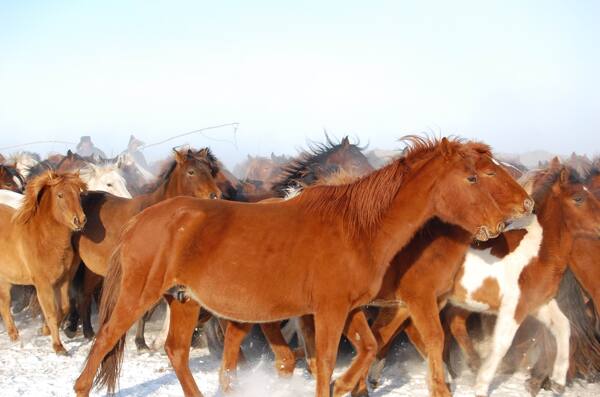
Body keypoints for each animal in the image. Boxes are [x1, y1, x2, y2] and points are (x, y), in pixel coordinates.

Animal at [0, 172, 86, 352]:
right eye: (60, 195)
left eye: (79, 193)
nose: (80, 220)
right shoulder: (43, 284)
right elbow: (51, 313)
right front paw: (59, 347)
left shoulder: (63, 281)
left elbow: (64, 307)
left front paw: (44, 330)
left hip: (4, 280)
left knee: (4, 305)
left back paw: (15, 336)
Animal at [67, 147, 223, 338]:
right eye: (191, 172)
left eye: (210, 171)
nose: (215, 196)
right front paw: (142, 340)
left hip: (92, 268)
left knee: (85, 294)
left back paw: (88, 331)